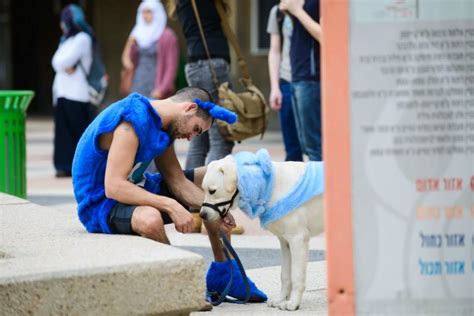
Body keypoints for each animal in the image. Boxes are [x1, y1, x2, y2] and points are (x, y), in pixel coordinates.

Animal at [200, 149, 326, 310]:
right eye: (204, 190)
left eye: (212, 191)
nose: (202, 215)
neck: (269, 186)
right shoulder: (285, 242)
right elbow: (285, 275)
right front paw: (281, 300)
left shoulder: (298, 239)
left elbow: (296, 275)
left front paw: (293, 303)